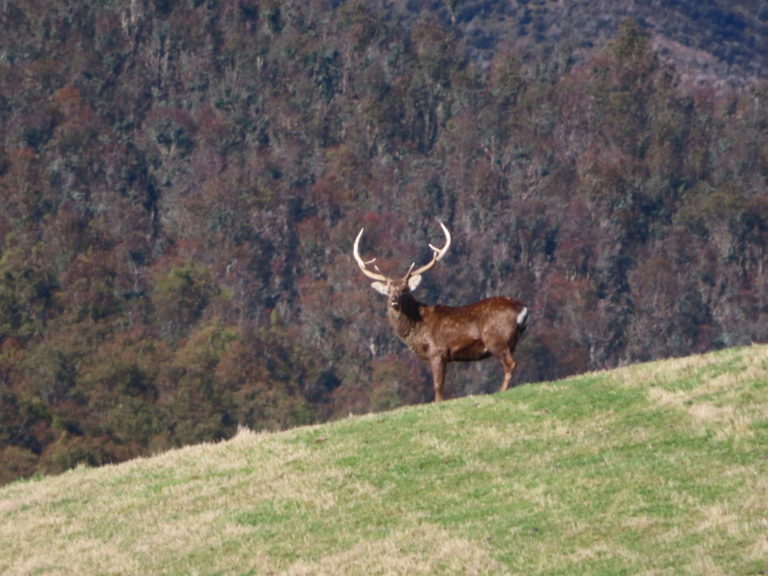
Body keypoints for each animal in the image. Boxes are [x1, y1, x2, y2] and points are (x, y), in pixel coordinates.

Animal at [353, 221, 528, 402]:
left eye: (405, 289)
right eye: (388, 290)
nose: (394, 299)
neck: (417, 328)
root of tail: (522, 309)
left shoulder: (438, 351)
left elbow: (438, 385)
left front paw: (437, 403)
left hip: (496, 338)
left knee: (510, 363)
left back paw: (501, 391)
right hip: (511, 340)